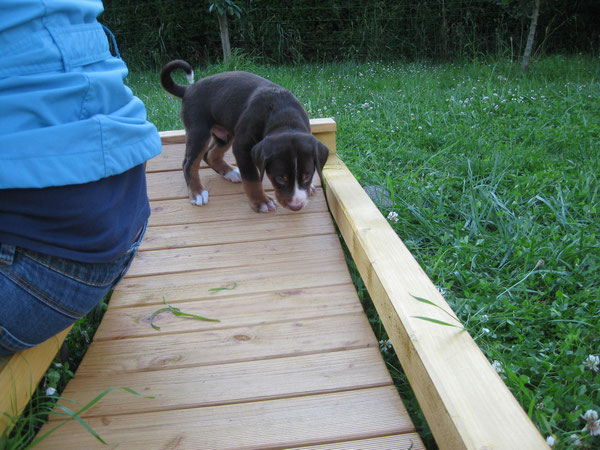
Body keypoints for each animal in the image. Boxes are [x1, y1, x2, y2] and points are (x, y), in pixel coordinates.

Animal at [159, 59, 328, 213]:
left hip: (225, 133)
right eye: (280, 178)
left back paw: (230, 173)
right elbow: (252, 177)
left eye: (307, 176)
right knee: (189, 163)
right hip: (199, 131)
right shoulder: (242, 147)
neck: (284, 116)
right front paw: (261, 202)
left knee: (211, 154)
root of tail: (188, 89)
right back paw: (197, 193)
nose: (296, 206)